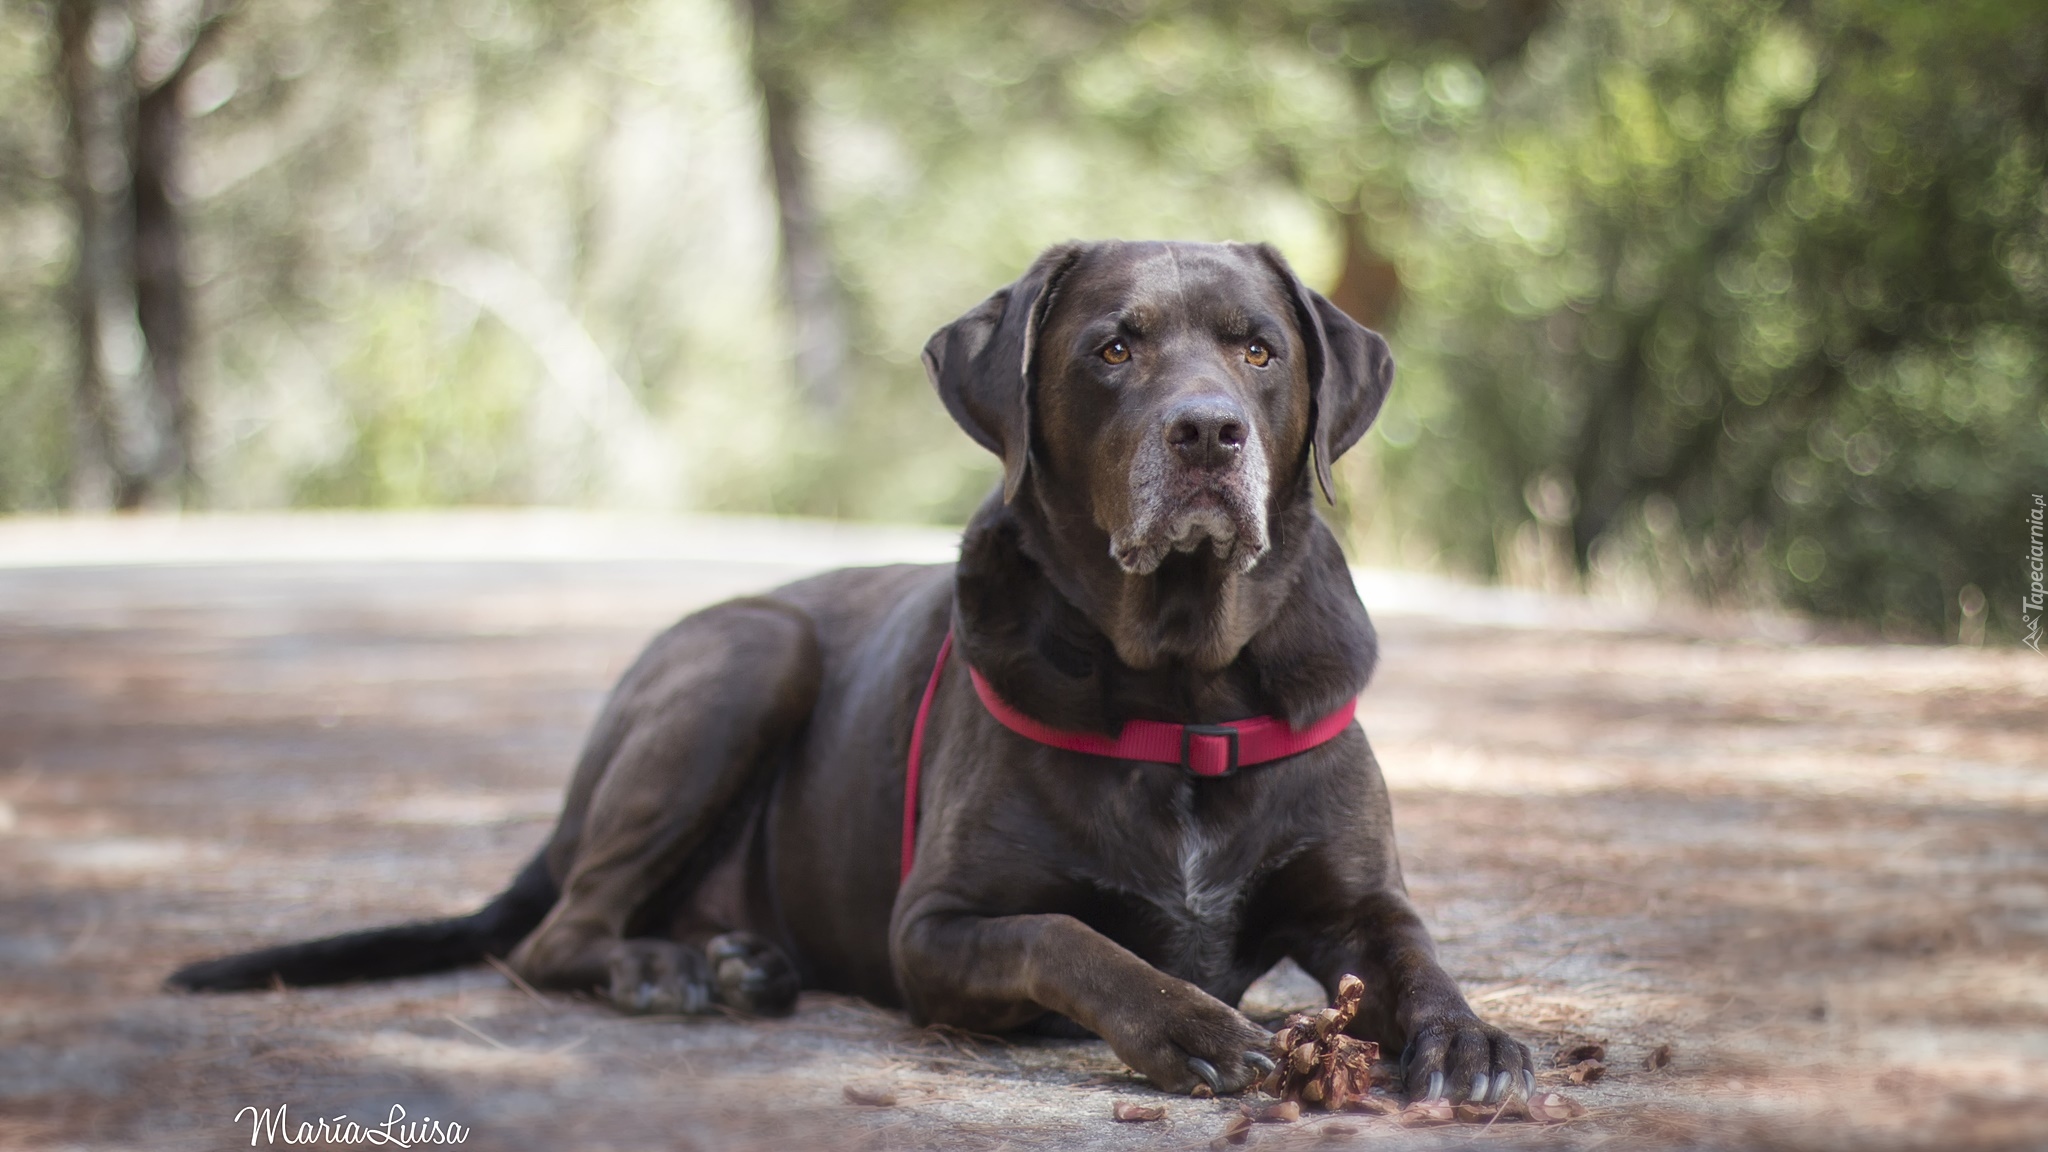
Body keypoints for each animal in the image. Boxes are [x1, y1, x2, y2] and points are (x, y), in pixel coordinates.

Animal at [167, 237, 1531, 1098]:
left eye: (1258, 352)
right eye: (1111, 349)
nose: (1207, 434)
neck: (1182, 685)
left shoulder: (1358, 902)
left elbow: (1417, 953)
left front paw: (1467, 1039)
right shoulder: (931, 929)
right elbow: (1069, 938)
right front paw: (1191, 1022)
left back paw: (735, 960)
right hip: (746, 655)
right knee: (557, 935)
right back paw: (670, 970)